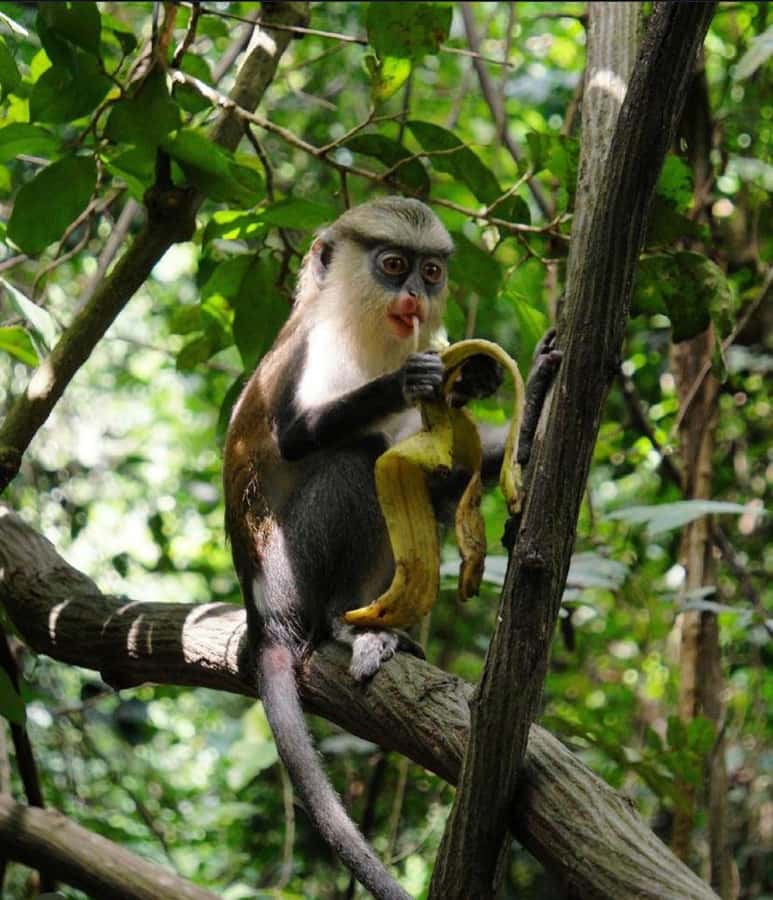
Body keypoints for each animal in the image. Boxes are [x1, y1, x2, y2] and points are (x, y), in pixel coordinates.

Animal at [223, 197, 560, 899]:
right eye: (394, 264)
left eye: (431, 271)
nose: (413, 299)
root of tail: (265, 619)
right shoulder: (315, 348)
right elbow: (298, 435)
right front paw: (415, 378)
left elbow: (444, 460)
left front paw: (519, 384)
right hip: (294, 572)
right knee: (358, 458)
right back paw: (345, 626)